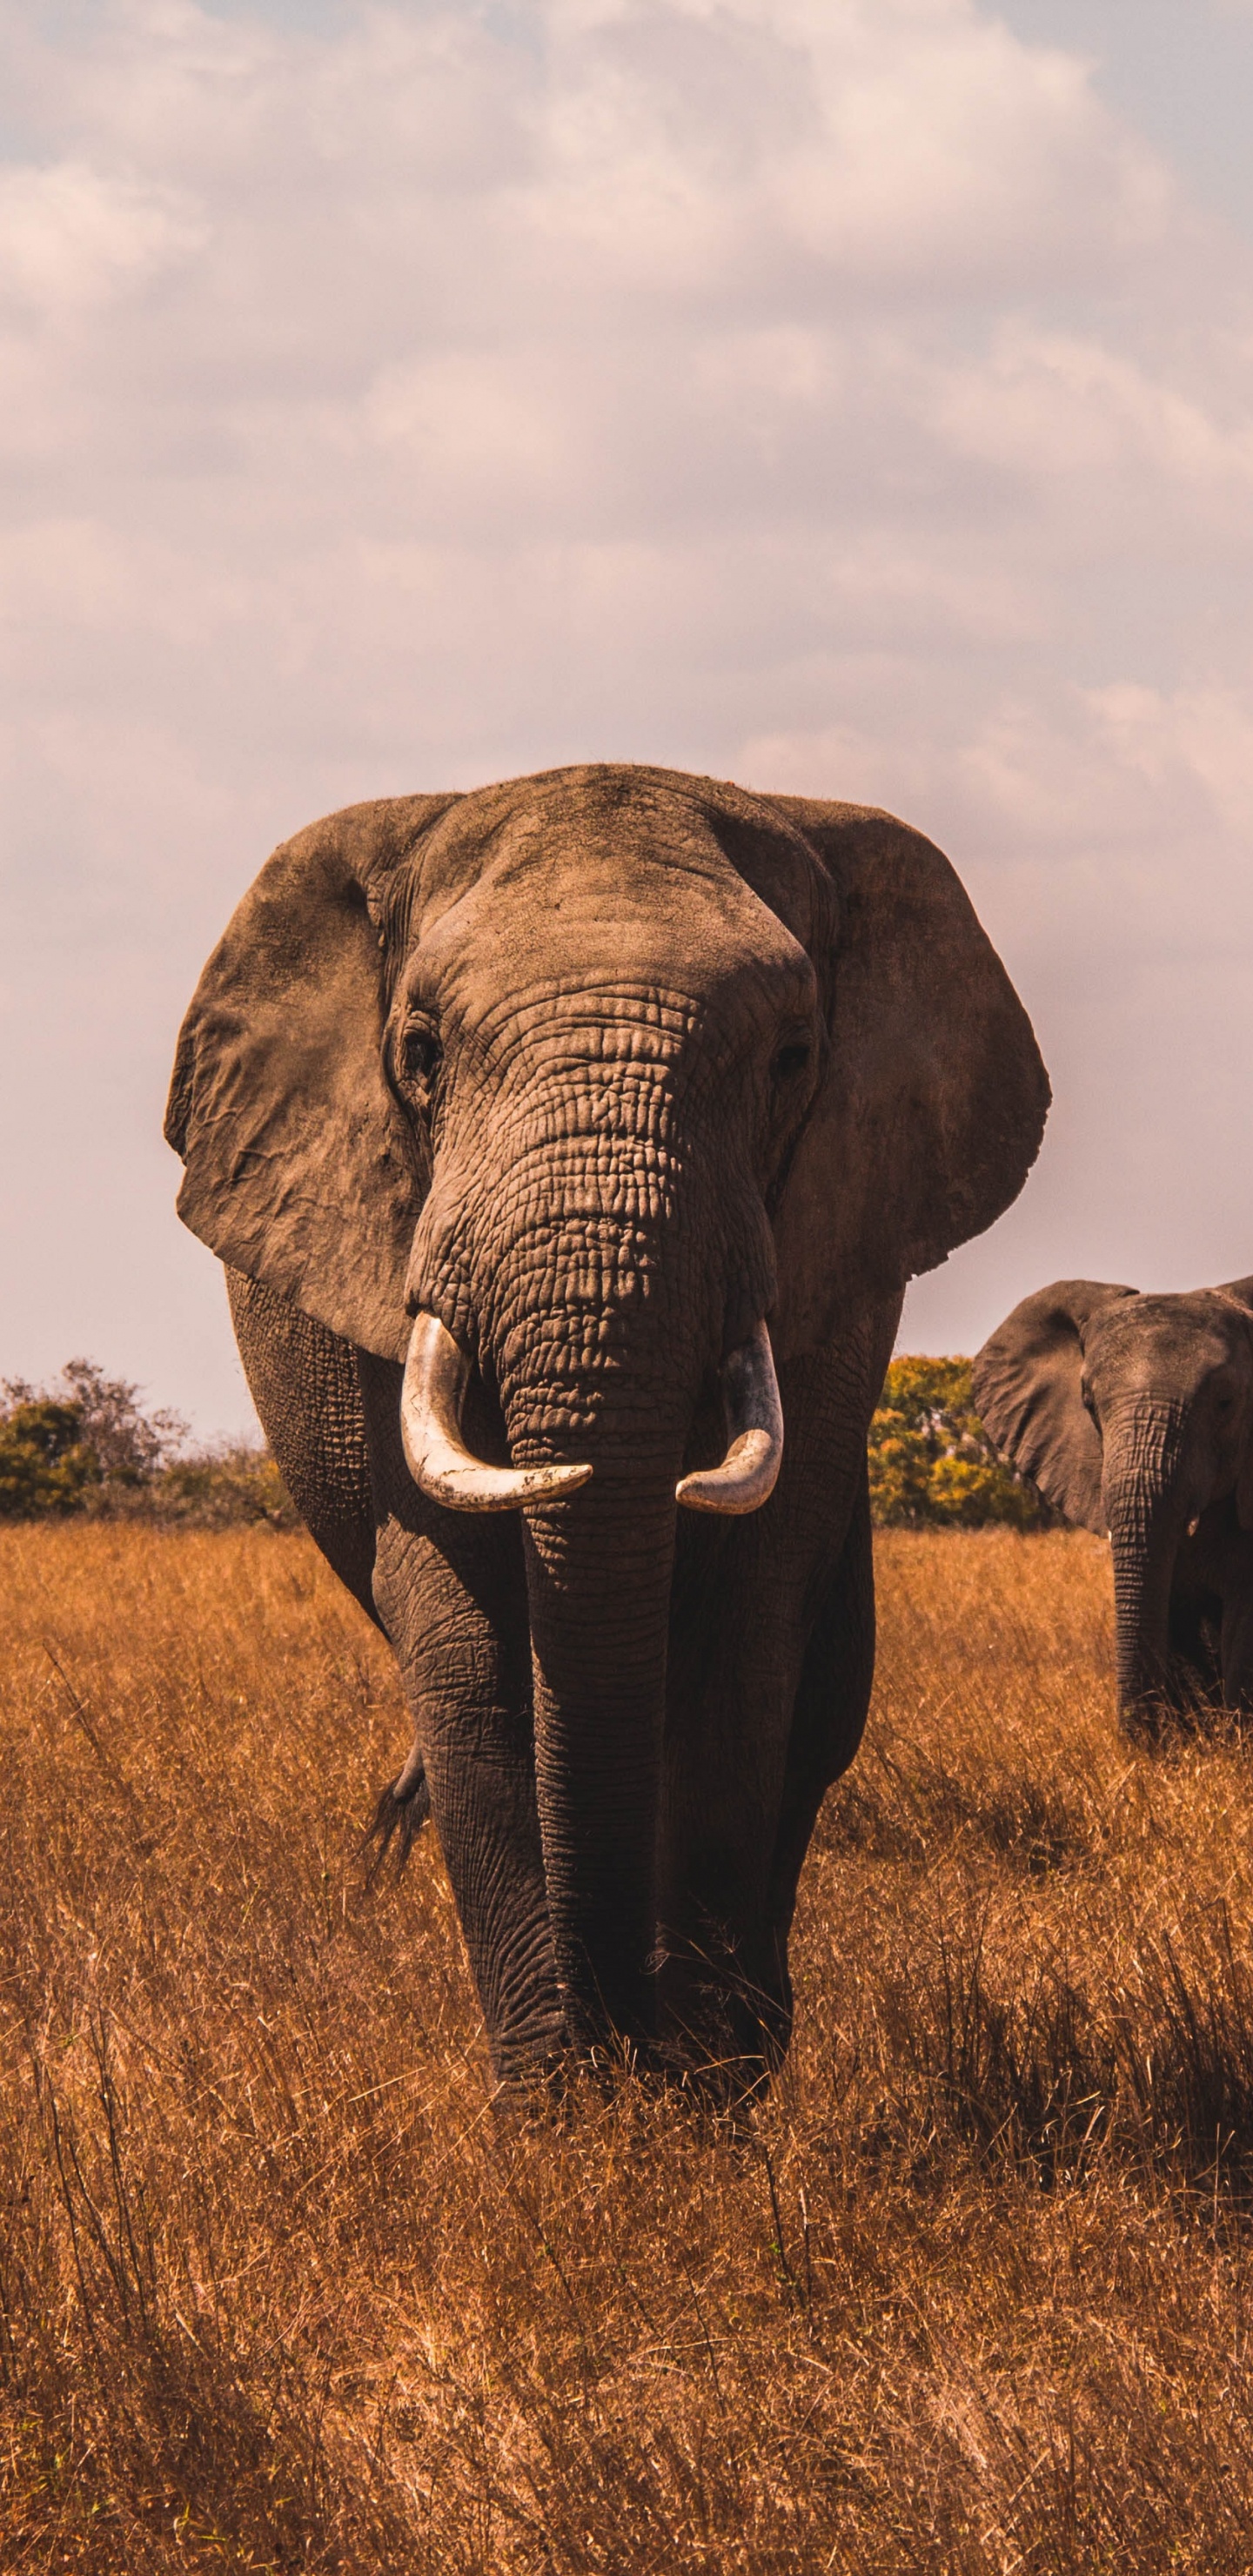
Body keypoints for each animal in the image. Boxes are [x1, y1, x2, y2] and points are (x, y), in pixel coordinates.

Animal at [166, 762, 1048, 2093]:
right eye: (420, 1054)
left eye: (793, 1057)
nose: (619, 2037)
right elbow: (471, 1652)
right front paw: (562, 2108)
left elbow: (746, 1639)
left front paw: (700, 2095)